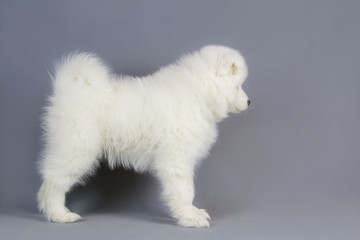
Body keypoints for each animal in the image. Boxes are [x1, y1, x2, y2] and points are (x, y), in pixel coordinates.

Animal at [36, 45, 250, 227]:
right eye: (238, 86)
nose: (249, 102)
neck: (199, 94)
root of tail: (68, 89)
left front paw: (193, 213)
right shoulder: (177, 160)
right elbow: (185, 191)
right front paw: (190, 217)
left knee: (47, 182)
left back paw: (49, 210)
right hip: (77, 148)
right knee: (54, 181)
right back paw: (59, 215)